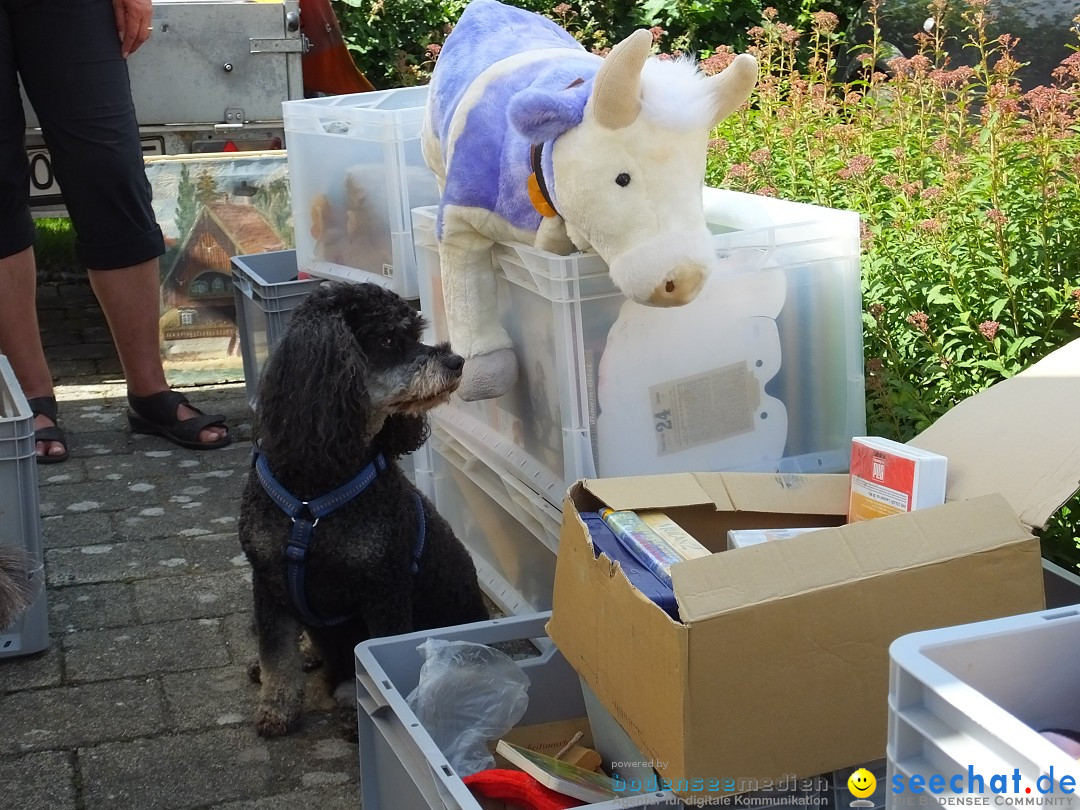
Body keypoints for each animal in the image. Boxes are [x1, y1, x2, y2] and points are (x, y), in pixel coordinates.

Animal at [241, 282, 490, 738]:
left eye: (415, 332)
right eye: (389, 339)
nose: (456, 361)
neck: (315, 487)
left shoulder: (385, 591)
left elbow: (369, 659)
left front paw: (359, 715)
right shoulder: (266, 580)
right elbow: (276, 656)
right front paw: (276, 709)